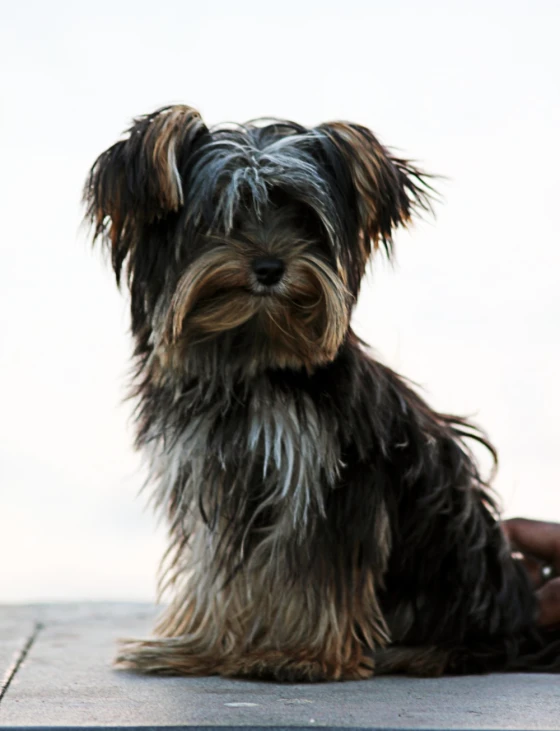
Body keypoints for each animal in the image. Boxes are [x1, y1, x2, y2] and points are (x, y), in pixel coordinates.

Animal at [84, 104, 560, 680]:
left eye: (305, 221)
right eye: (220, 217)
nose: (270, 267)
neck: (251, 364)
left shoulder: (330, 477)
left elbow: (319, 572)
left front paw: (300, 655)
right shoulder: (214, 475)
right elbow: (217, 570)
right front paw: (202, 647)